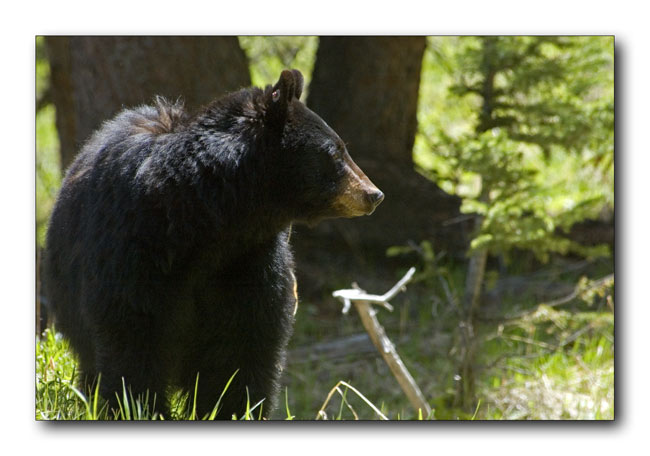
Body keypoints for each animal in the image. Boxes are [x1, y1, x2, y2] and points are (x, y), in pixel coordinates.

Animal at [43, 69, 383, 419]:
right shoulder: (132, 245)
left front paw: (236, 408)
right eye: (335, 152)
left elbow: (243, 343)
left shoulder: (249, 260)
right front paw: (141, 408)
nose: (374, 194)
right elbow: (133, 333)